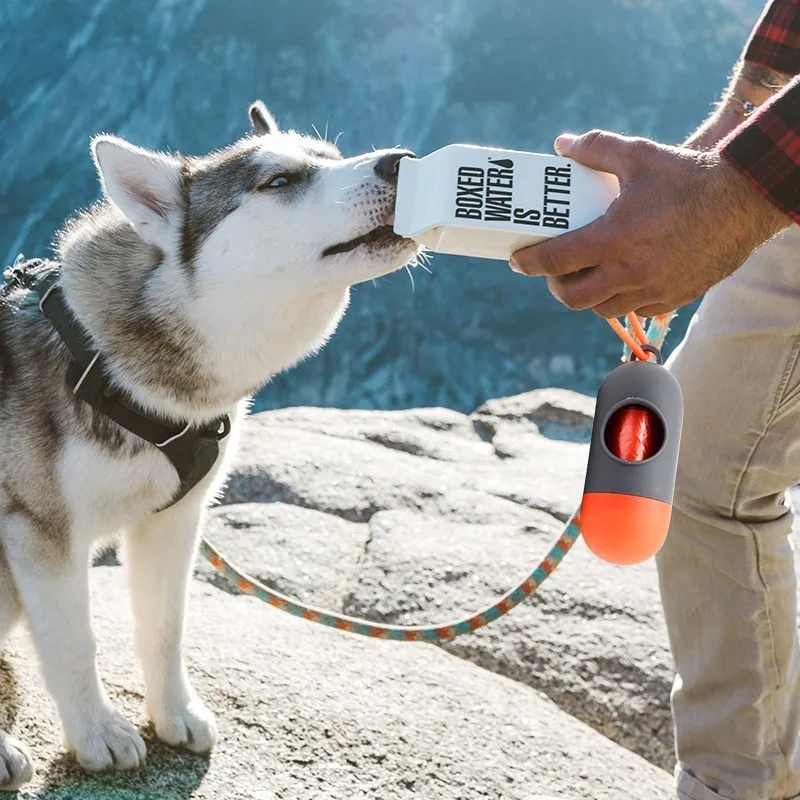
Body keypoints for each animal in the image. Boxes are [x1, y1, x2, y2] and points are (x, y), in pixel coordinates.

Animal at [0, 101, 418, 788]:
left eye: (332, 157)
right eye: (279, 181)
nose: (403, 160)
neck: (109, 365)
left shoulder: (175, 518)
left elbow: (166, 626)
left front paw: (174, 714)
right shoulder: (41, 530)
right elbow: (72, 642)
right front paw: (95, 733)